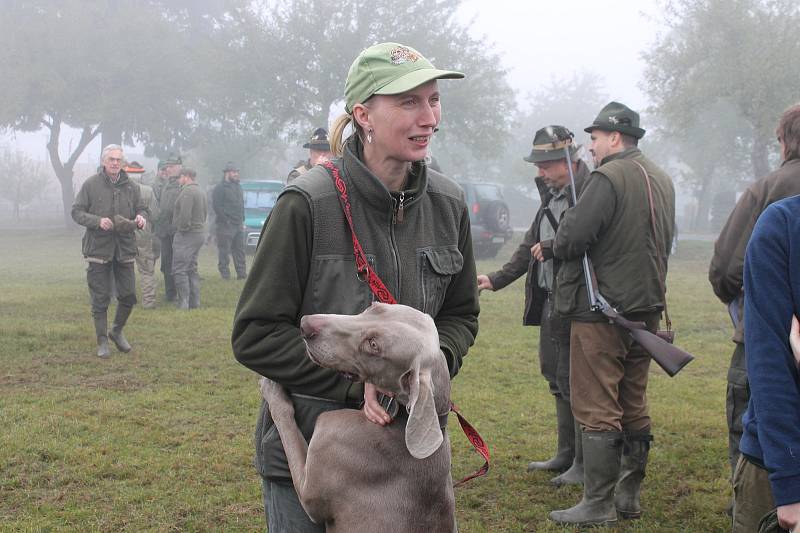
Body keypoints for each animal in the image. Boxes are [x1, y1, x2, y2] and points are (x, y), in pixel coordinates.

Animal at [260, 302, 454, 528]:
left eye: (373, 345)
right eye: (373, 306)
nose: (306, 324)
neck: (400, 420)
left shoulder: (310, 492)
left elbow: (287, 425)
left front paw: (271, 388)